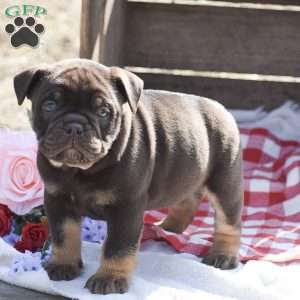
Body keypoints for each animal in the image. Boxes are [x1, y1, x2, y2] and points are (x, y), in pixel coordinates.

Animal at [14, 59, 244, 296]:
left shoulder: (125, 207)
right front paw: (63, 264)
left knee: (229, 220)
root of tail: (221, 109)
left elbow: (118, 246)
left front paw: (109, 278)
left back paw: (223, 255)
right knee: (187, 199)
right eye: (50, 105)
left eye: (103, 112)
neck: (79, 170)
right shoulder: (57, 200)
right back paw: (169, 227)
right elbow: (64, 235)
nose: (74, 126)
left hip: (224, 181)